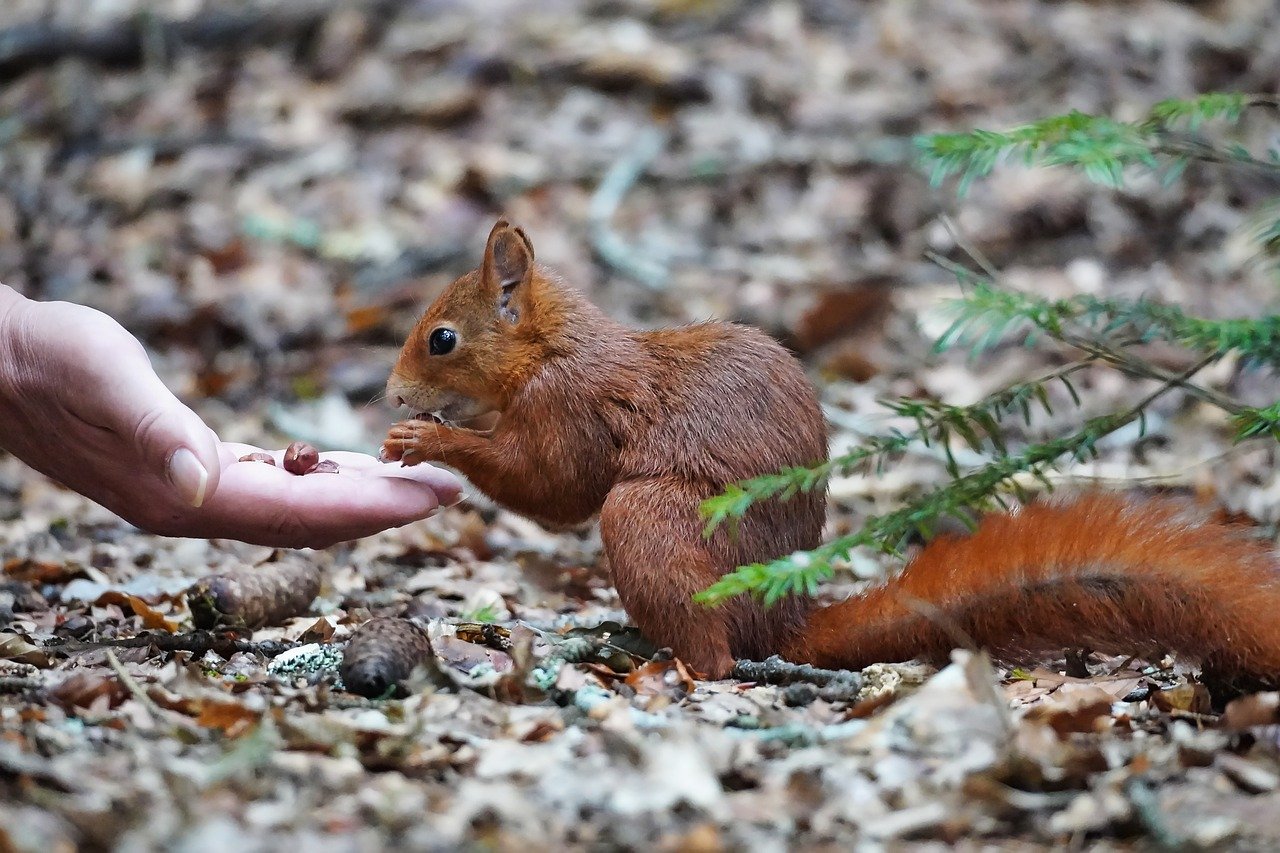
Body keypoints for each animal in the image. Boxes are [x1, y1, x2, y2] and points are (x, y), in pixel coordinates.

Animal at [383, 219, 1280, 684]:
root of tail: (781, 621)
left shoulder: (569, 404)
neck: (551, 347)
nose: (391, 395)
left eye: (442, 339)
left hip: (650, 517)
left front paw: (429, 438)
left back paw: (668, 668)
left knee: (715, 653)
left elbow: (552, 485)